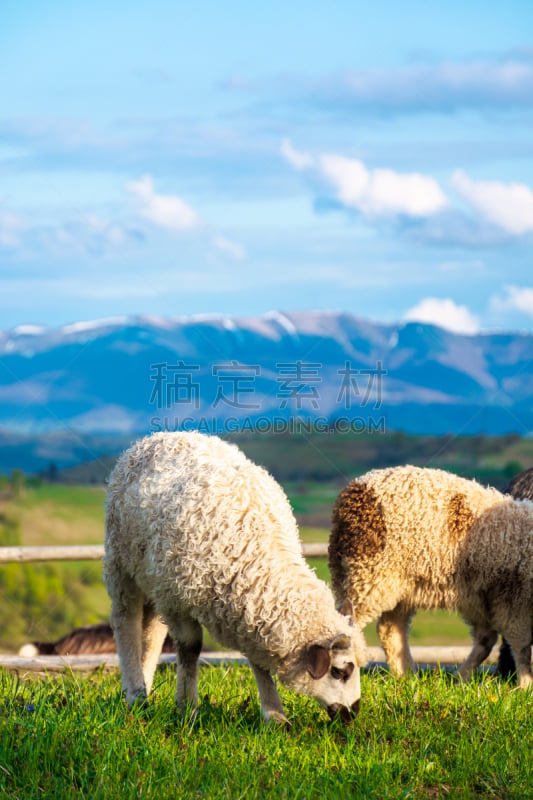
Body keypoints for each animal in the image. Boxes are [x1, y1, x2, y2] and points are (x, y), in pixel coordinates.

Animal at [103, 432, 366, 724]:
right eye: (340, 671)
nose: (354, 711)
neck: (256, 552)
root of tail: (161, 436)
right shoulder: (178, 600)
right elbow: (189, 649)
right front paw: (187, 709)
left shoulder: (249, 609)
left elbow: (258, 659)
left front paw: (274, 716)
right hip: (121, 562)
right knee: (125, 620)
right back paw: (135, 694)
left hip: (153, 579)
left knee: (151, 632)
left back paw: (145, 686)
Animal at [328, 466, 532, 692]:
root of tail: (357, 487)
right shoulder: (513, 602)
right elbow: (520, 646)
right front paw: (525, 686)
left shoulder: (480, 598)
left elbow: (486, 640)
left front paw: (461, 679)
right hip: (369, 575)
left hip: (399, 586)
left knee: (390, 630)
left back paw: (406, 677)